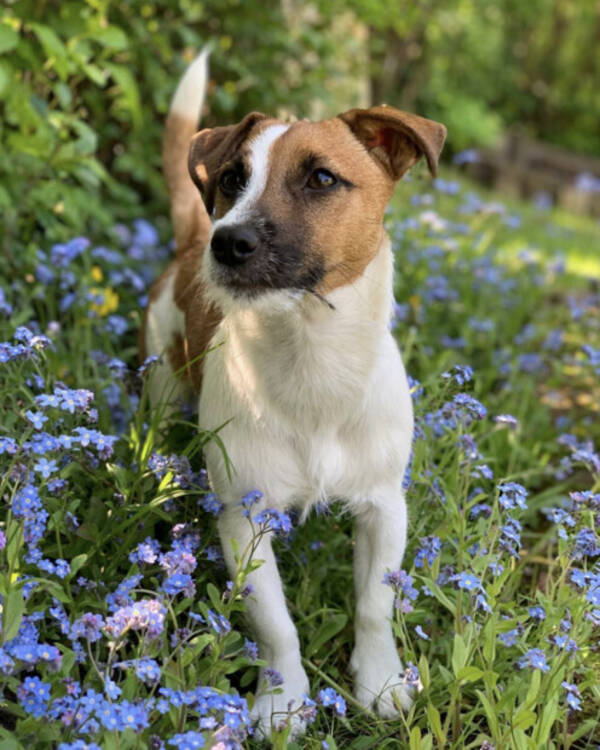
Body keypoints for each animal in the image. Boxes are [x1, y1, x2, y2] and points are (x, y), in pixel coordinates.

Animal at [143, 53, 446, 740]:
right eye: (232, 177)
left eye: (322, 178)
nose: (225, 241)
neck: (313, 362)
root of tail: (186, 241)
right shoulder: (244, 520)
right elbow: (275, 625)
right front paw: (282, 702)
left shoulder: (384, 506)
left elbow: (374, 604)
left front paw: (379, 681)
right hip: (161, 383)